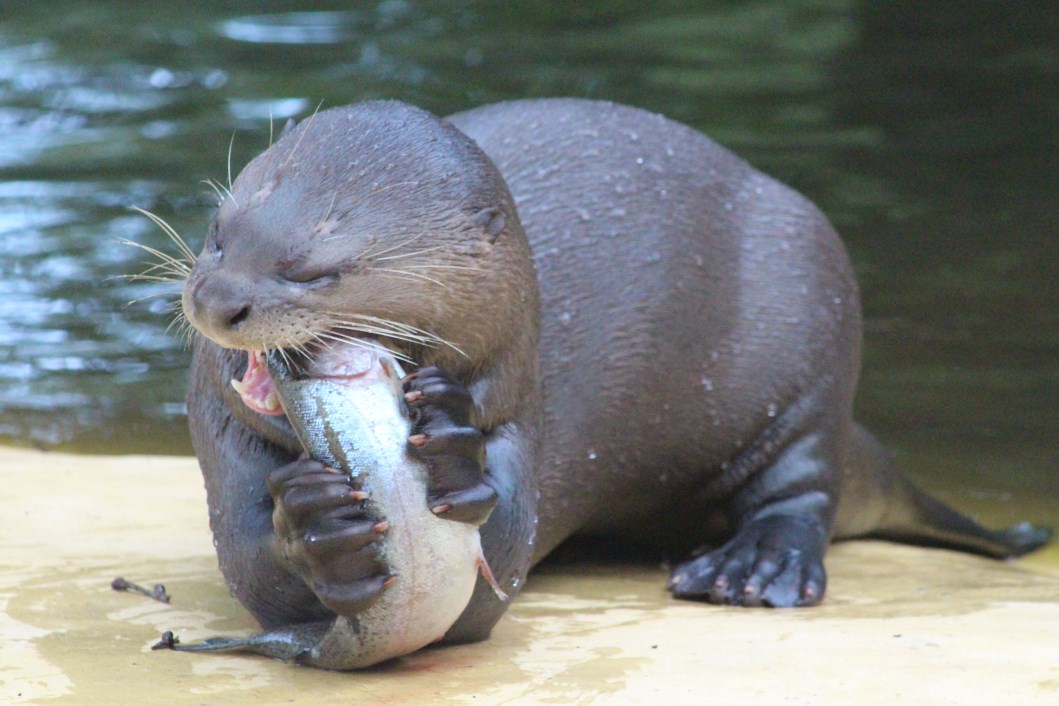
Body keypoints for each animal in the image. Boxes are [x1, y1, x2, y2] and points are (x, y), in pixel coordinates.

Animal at [180, 99, 1048, 662]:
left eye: (313, 270)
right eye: (219, 234)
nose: (218, 300)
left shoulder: (518, 399)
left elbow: (489, 576)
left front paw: (455, 457)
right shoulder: (219, 439)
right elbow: (252, 568)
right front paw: (316, 521)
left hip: (813, 333)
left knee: (801, 486)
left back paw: (753, 568)